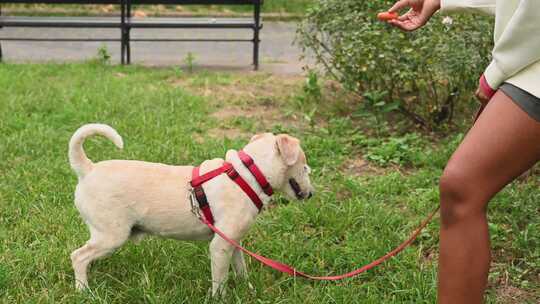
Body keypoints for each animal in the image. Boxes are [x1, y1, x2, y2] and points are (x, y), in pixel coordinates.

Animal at [68, 123, 314, 294]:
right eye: (305, 168)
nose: (311, 194)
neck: (247, 175)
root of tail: (88, 170)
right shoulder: (220, 247)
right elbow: (220, 280)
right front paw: (219, 297)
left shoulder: (233, 241)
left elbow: (241, 267)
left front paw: (248, 289)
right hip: (112, 236)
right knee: (78, 256)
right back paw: (83, 290)